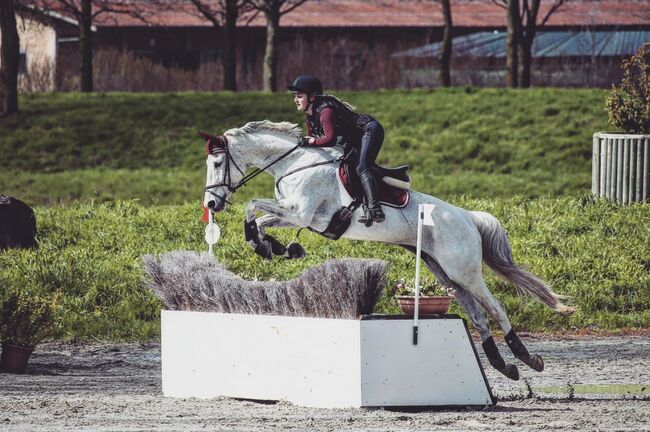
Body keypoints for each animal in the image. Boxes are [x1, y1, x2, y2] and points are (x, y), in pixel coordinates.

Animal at [202, 120, 572, 380]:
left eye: (218, 163)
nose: (211, 204)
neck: (296, 163)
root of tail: (467, 216)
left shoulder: (302, 214)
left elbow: (252, 204)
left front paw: (271, 245)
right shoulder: (297, 215)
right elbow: (258, 215)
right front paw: (275, 247)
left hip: (464, 270)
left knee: (495, 308)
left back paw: (528, 359)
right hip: (444, 273)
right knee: (478, 315)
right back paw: (503, 366)